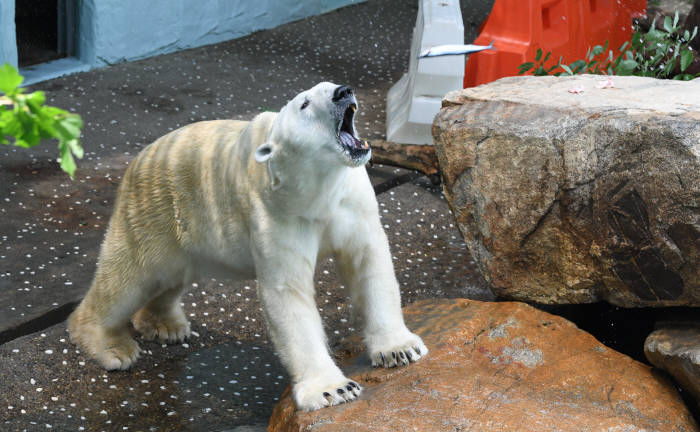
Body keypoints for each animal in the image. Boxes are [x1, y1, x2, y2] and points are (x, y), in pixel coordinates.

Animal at [68, 82, 426, 412]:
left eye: (331, 84)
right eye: (304, 103)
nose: (343, 92)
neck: (317, 188)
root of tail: (137, 160)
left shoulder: (351, 201)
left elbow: (369, 262)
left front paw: (399, 348)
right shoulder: (277, 213)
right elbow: (287, 291)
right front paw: (332, 389)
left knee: (171, 274)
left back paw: (166, 326)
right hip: (152, 208)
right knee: (130, 275)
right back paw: (112, 347)